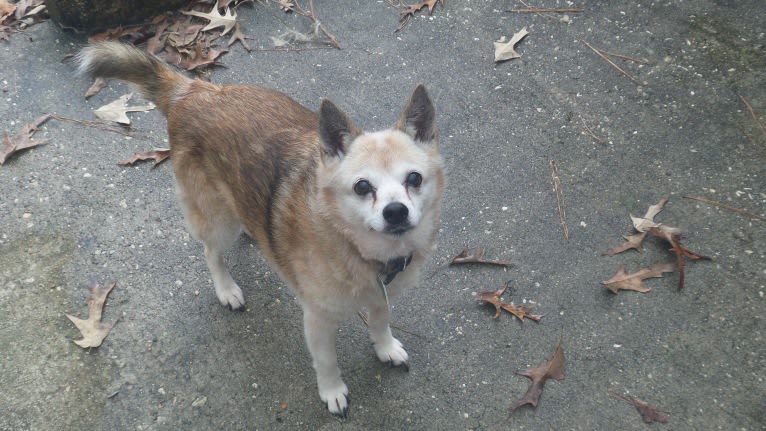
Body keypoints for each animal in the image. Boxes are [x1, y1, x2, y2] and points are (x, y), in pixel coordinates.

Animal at [76, 42, 448, 416]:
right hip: (217, 220)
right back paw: (226, 289)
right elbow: (327, 362)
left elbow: (380, 321)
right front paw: (332, 391)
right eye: (362, 187)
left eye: (414, 179)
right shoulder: (317, 320)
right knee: (211, 252)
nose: (396, 212)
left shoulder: (382, 295)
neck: (354, 245)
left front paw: (385, 347)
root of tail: (196, 91)